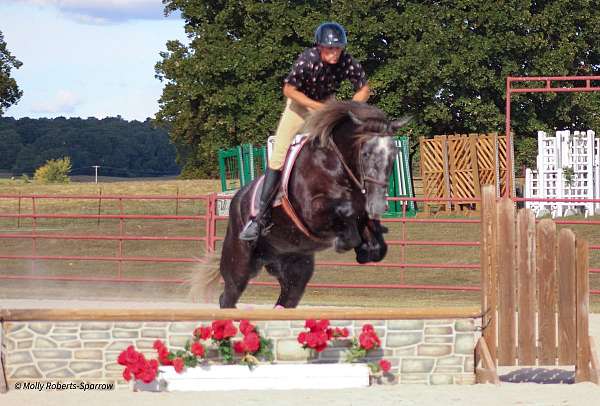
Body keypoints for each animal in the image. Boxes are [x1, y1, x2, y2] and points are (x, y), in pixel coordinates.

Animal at [195, 100, 410, 308]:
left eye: (393, 154)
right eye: (365, 154)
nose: (378, 205)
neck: (335, 166)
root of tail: (237, 198)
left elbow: (376, 246)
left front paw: (366, 250)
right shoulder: (312, 213)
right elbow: (344, 216)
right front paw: (344, 241)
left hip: (293, 267)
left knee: (287, 298)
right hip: (239, 263)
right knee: (227, 298)